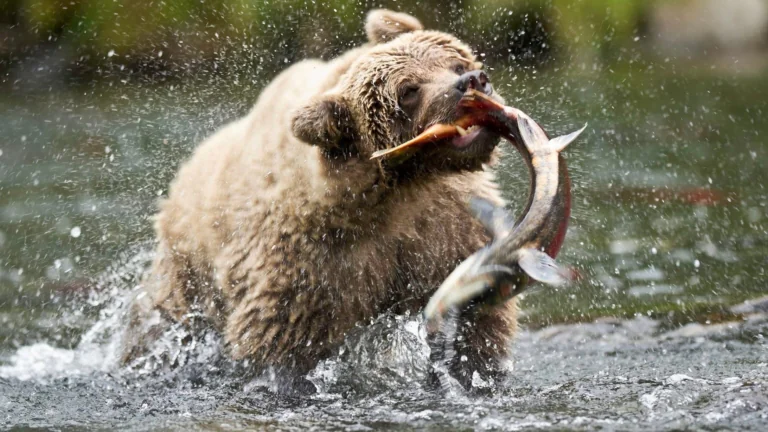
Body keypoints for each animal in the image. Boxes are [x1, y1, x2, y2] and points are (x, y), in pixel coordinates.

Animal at [123, 9, 518, 389]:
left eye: (456, 63)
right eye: (408, 90)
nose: (472, 81)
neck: (395, 192)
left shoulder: (447, 227)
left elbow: (480, 316)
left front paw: (474, 368)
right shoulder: (308, 266)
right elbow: (276, 344)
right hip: (187, 272)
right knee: (157, 325)